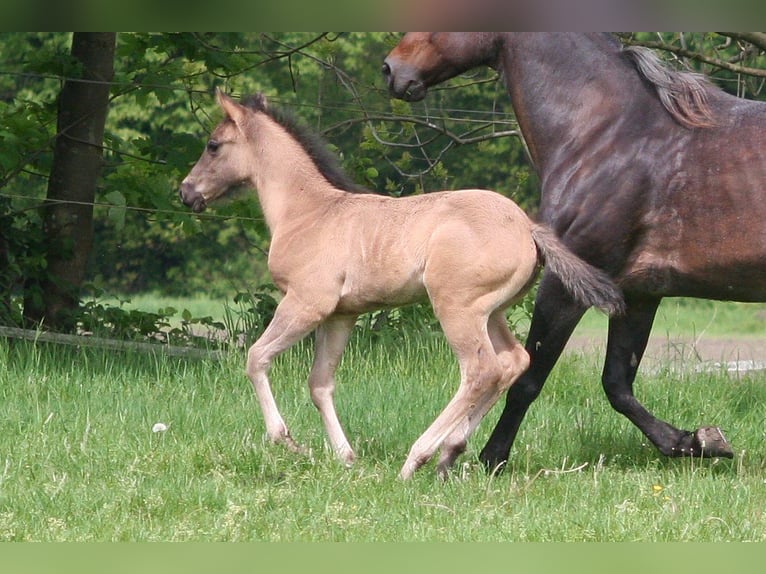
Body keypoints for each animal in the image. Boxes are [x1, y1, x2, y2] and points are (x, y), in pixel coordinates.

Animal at [178, 91, 624, 482]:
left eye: (213, 145)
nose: (185, 192)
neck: (309, 212)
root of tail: (527, 227)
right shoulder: (341, 315)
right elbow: (320, 383)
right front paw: (346, 457)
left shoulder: (306, 303)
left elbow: (256, 357)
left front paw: (287, 441)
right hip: (491, 311)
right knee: (514, 362)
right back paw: (449, 454)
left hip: (455, 307)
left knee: (481, 369)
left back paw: (418, 458)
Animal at [388, 32, 766, 472]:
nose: (392, 69)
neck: (606, 134)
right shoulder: (639, 293)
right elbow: (618, 384)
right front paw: (695, 442)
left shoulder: (566, 284)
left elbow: (529, 377)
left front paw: (491, 459)